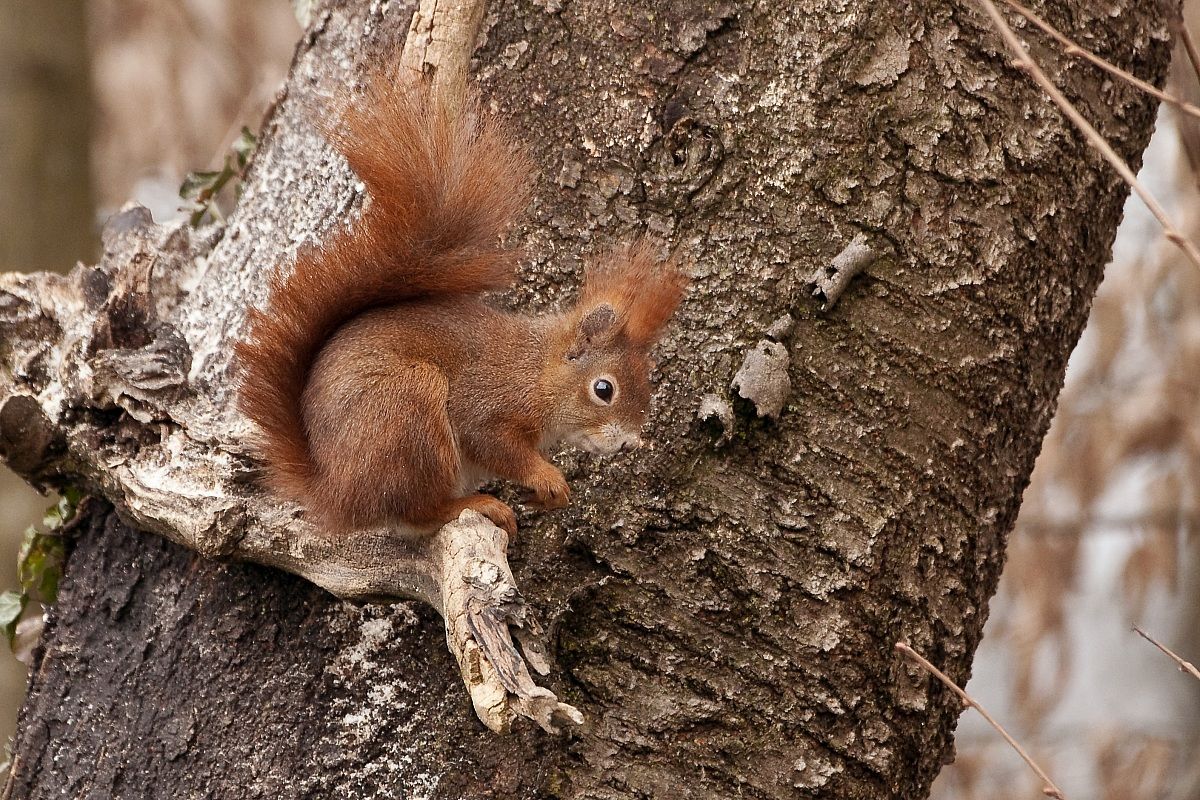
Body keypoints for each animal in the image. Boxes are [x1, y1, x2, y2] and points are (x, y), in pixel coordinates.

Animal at [233, 73, 687, 537]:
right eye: (603, 389)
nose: (629, 441)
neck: (536, 370)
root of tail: (334, 493)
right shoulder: (487, 403)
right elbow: (491, 442)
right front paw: (548, 478)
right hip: (407, 410)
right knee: (417, 510)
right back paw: (475, 504)